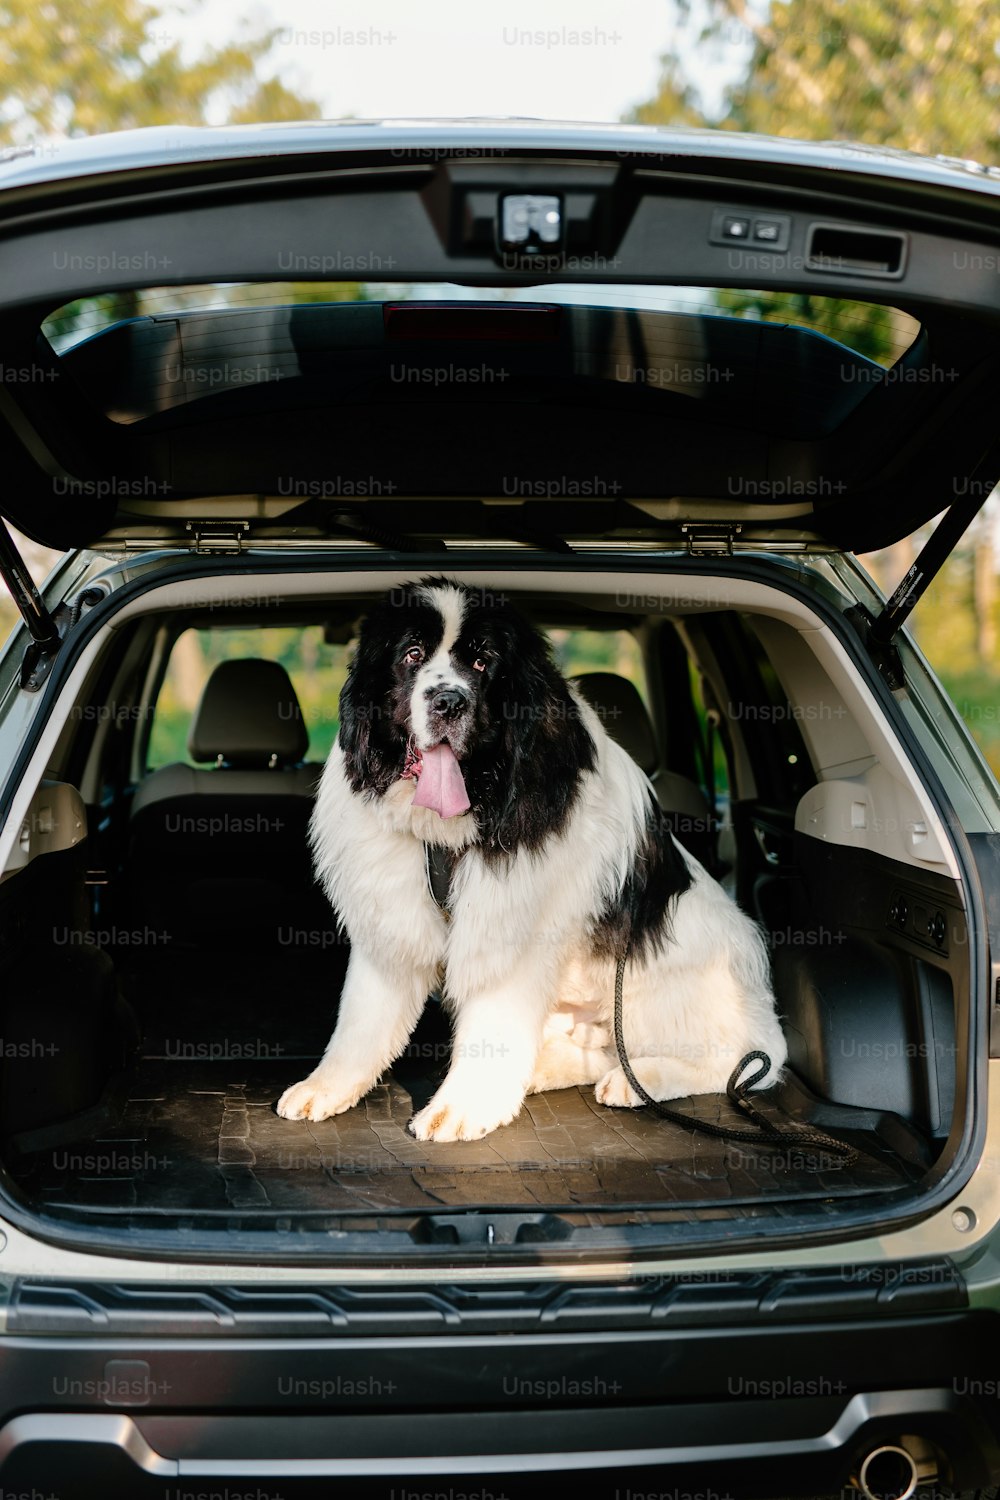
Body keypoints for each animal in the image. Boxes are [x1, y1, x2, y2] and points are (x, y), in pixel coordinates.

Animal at [277, 579, 785, 1140]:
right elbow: (362, 1018)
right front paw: (327, 1087)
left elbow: (490, 1021)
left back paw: (638, 1083)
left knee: (746, 1059)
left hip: (662, 981)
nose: (449, 700)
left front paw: (461, 1107)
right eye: (411, 655)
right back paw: (546, 1070)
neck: (449, 829)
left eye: (482, 663)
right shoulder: (391, 913)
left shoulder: (512, 924)